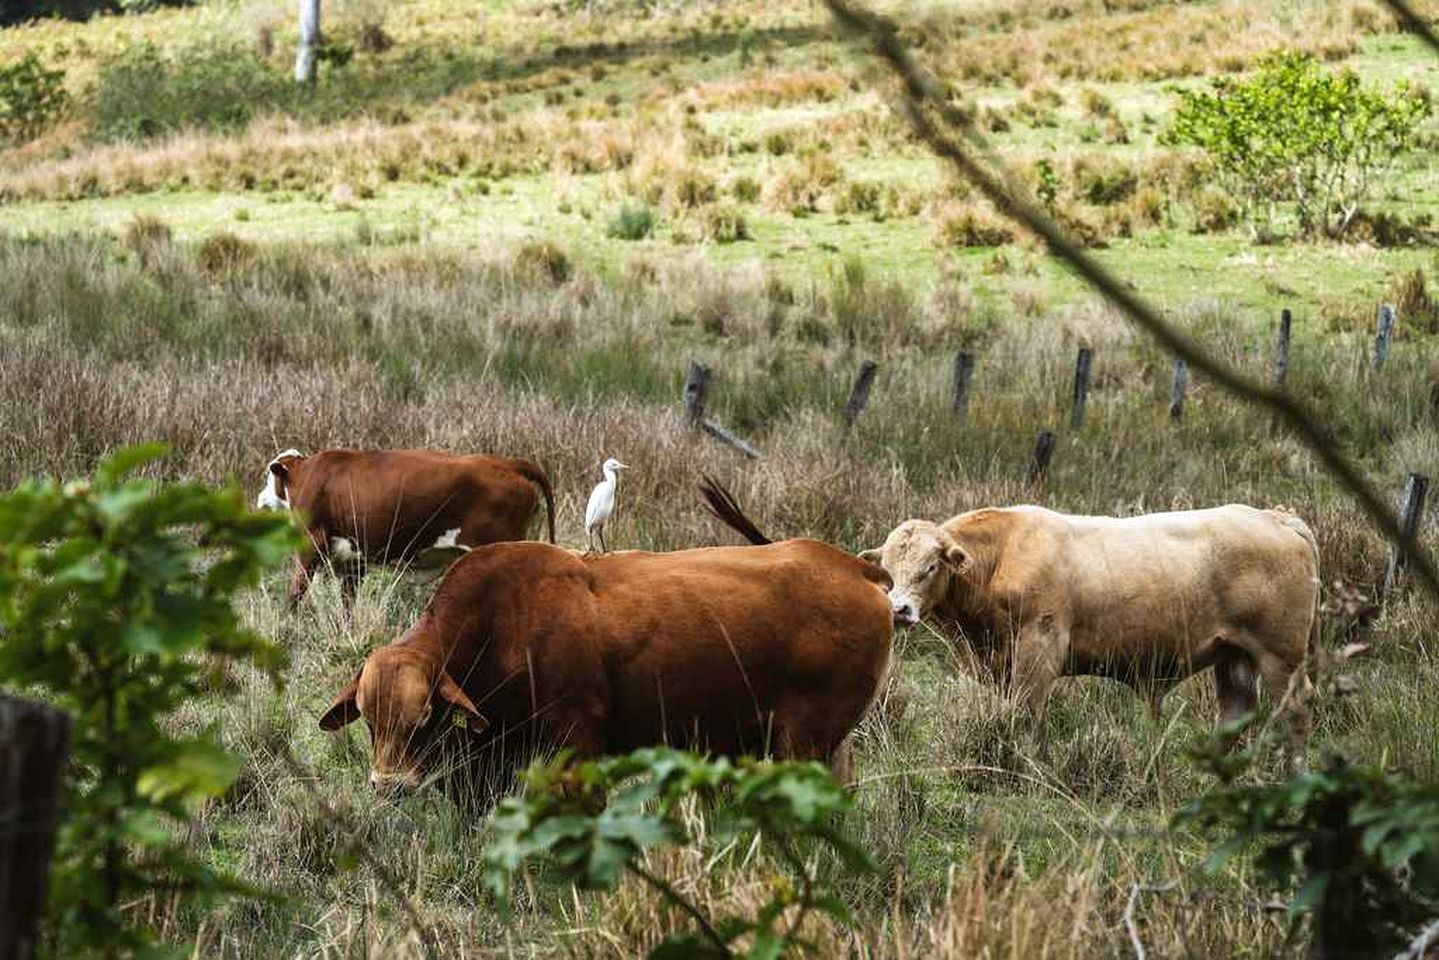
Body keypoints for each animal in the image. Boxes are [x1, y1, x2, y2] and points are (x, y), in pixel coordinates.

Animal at [257, 448, 556, 608]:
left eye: (268, 477)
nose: (259, 499)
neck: (307, 475)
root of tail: (506, 463)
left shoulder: (310, 543)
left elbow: (296, 593)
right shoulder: (353, 560)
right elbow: (348, 603)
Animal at [317, 486, 894, 796]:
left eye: (424, 719)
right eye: (369, 720)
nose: (388, 785)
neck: (501, 621)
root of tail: (853, 566)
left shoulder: (577, 744)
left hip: (805, 743)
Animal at [852, 504, 1319, 753]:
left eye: (931, 566)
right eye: (888, 569)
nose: (898, 609)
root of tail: (1276, 517)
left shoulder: (1039, 647)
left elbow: (1026, 711)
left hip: (1281, 656)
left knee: (1295, 710)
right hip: (1235, 656)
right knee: (1236, 713)